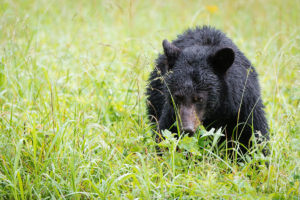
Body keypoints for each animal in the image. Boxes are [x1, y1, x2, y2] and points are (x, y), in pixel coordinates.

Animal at [146, 25, 268, 155]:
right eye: (177, 96)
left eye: (199, 99)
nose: (187, 129)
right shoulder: (172, 112)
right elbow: (165, 135)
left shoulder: (244, 105)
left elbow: (254, 137)